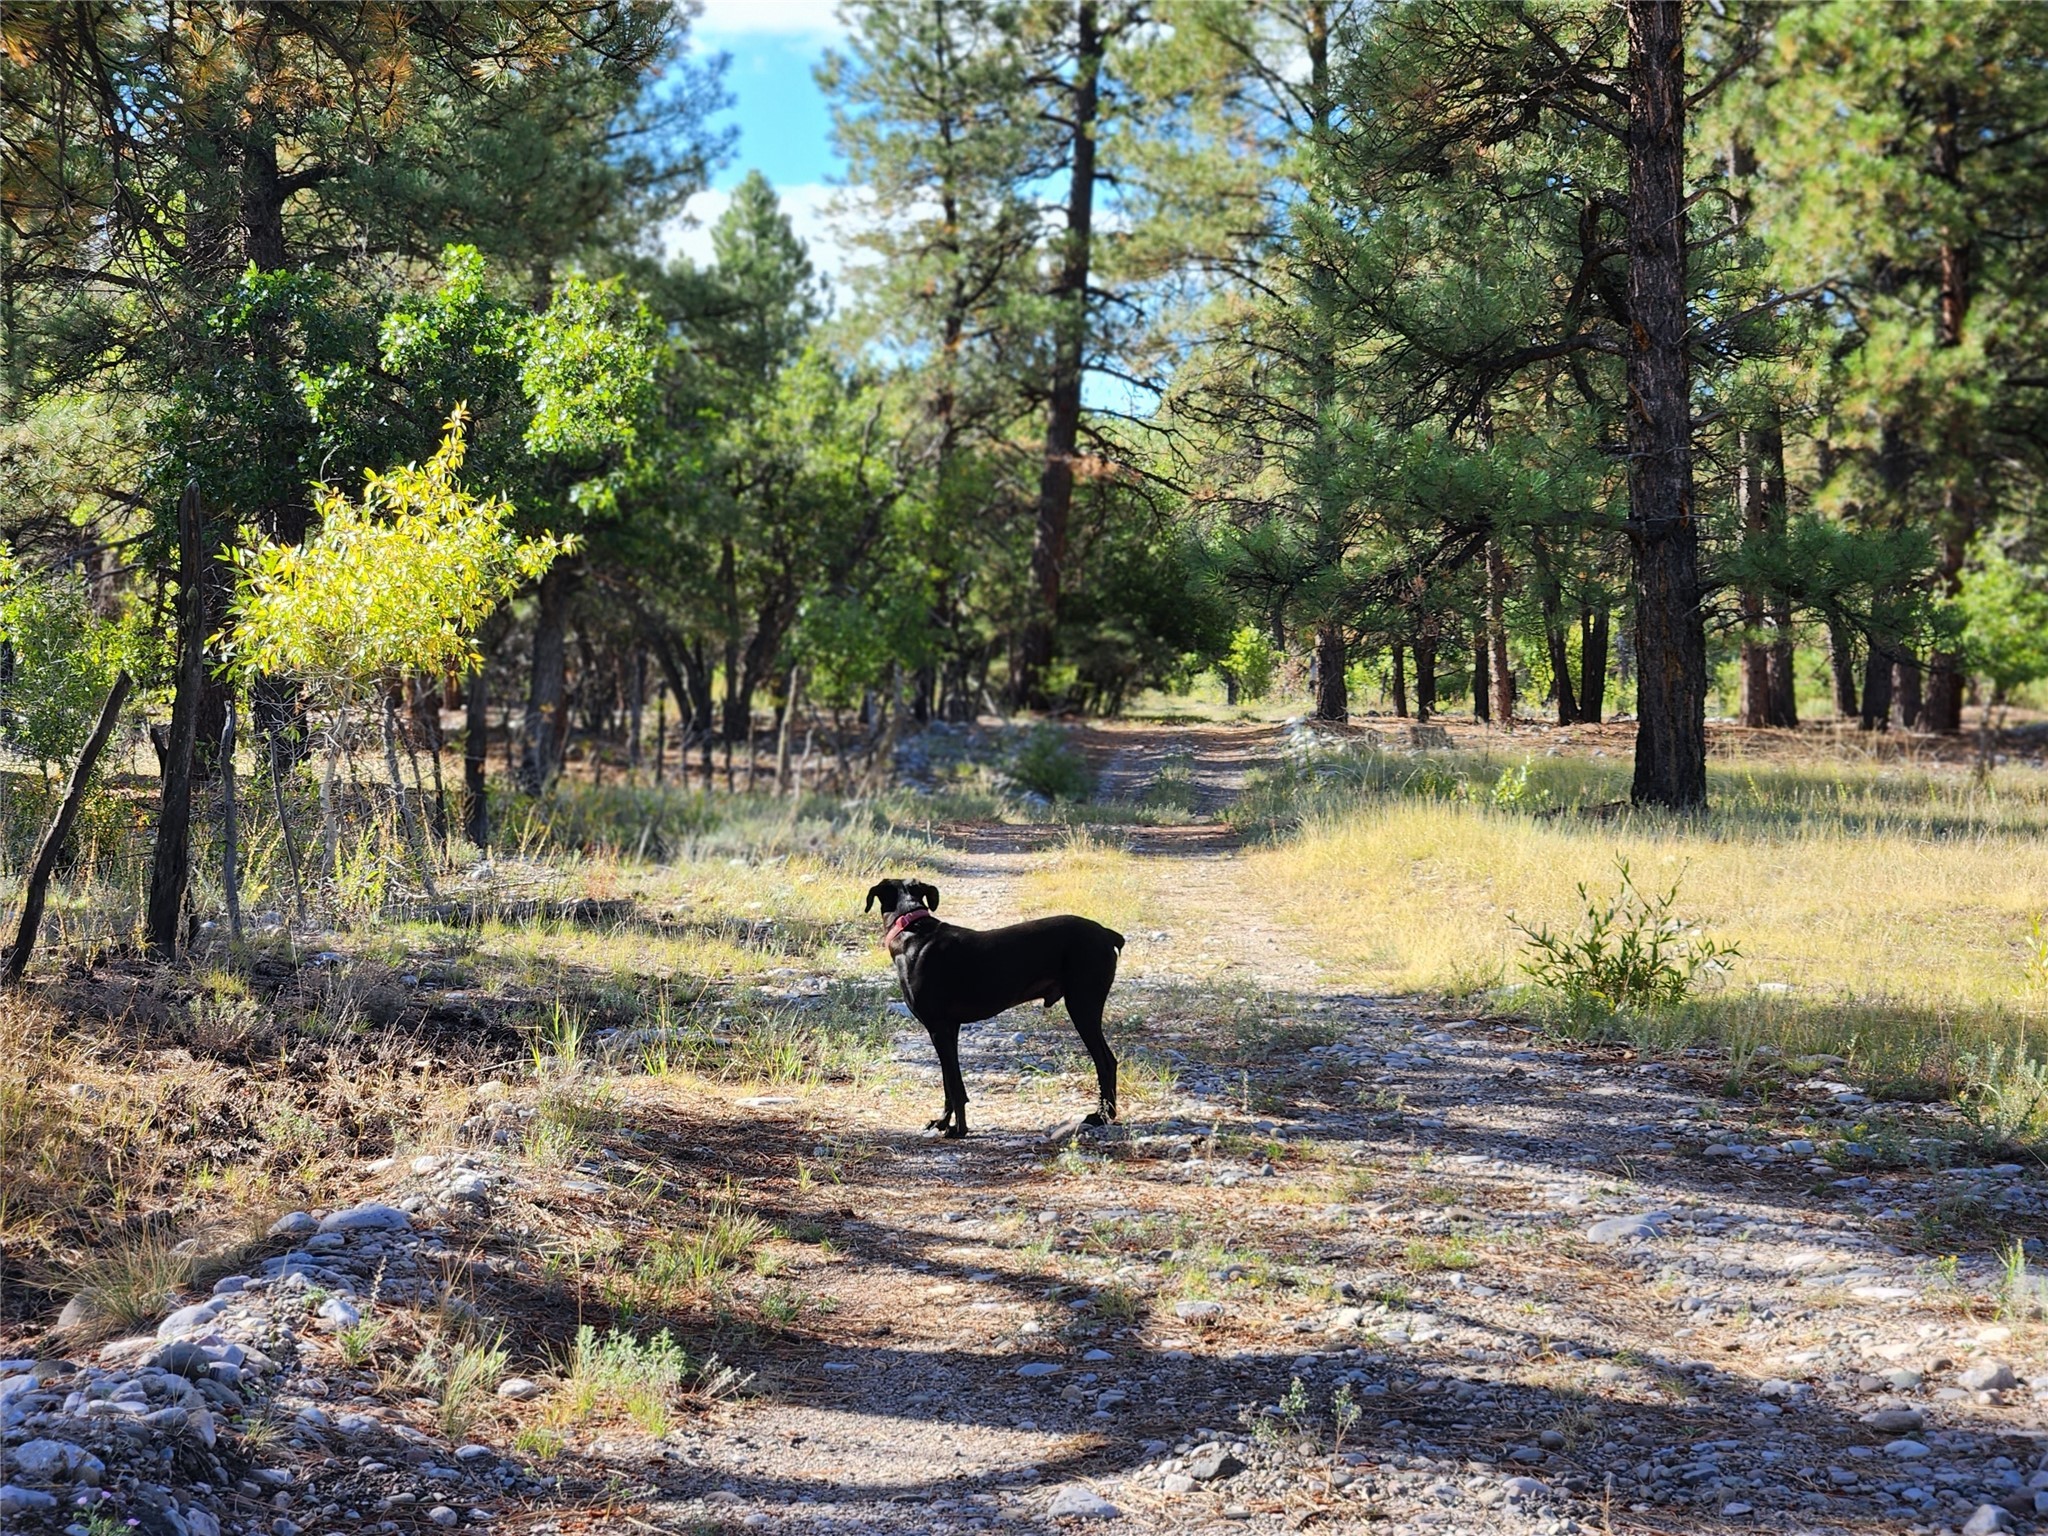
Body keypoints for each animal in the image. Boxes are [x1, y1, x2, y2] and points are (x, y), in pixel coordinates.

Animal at [860, 876, 1122, 1146]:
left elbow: (954, 1084)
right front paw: (943, 1122)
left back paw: (1100, 1115)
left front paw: (959, 1129)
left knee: (1106, 1061)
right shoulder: (948, 1028)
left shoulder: (938, 1027)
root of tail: (1107, 934)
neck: (913, 931)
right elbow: (947, 1082)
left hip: (1083, 1005)